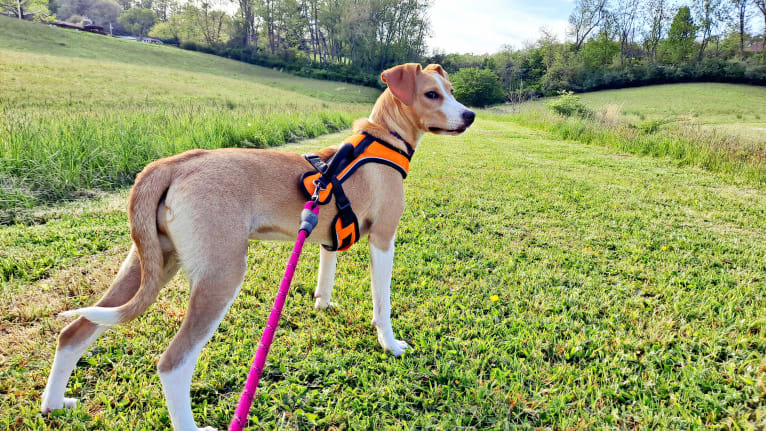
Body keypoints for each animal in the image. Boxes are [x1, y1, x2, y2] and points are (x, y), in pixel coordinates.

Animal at [42, 62, 476, 430]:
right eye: (432, 94)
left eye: (452, 91)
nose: (470, 115)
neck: (383, 140)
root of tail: (172, 164)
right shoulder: (385, 238)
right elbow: (382, 303)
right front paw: (391, 344)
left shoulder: (326, 236)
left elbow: (326, 275)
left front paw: (323, 304)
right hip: (220, 275)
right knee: (172, 363)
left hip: (149, 265)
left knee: (75, 332)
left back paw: (54, 404)